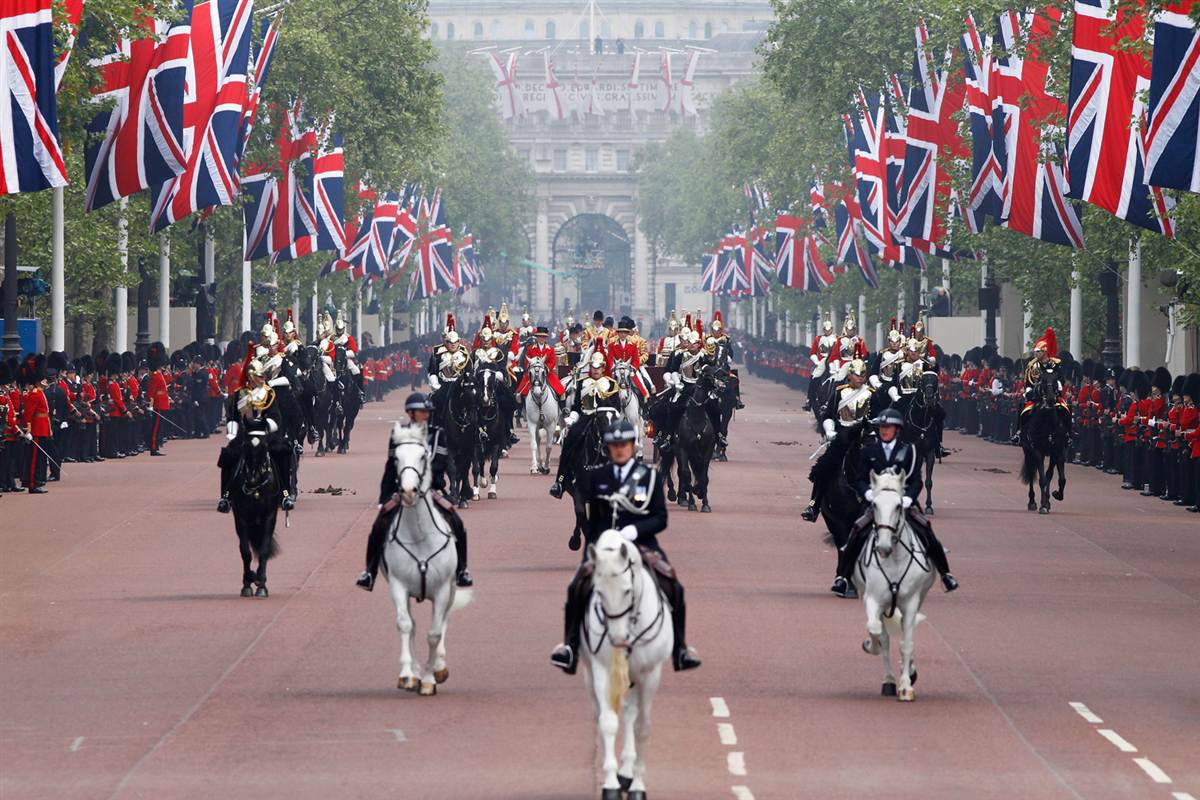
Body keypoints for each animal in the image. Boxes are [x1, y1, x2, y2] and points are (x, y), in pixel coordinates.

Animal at [226, 431, 280, 594]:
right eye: (245, 445)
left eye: (264, 446)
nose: (252, 480)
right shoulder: (241, 518)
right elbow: (245, 551)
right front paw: (248, 581)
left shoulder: (270, 516)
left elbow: (264, 549)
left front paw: (261, 584)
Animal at [381, 424, 470, 695]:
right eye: (396, 458)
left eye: (423, 456)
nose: (409, 493)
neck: (419, 536)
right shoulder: (398, 585)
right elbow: (405, 625)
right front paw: (409, 675)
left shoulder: (442, 588)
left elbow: (434, 633)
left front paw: (431, 677)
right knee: (413, 625)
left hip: (451, 588)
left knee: (443, 622)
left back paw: (438, 667)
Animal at [578, 532, 672, 800]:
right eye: (598, 593)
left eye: (628, 591)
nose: (619, 639)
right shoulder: (602, 670)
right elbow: (608, 722)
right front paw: (610, 784)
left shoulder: (650, 675)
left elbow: (642, 727)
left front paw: (638, 785)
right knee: (604, 714)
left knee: (632, 712)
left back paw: (628, 773)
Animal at [854, 470, 936, 700]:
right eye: (874, 505)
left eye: (899, 505)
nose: (883, 547)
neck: (895, 559)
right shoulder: (872, 599)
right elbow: (877, 631)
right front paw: (869, 645)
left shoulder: (911, 602)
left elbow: (906, 644)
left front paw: (907, 684)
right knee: (885, 636)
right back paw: (889, 680)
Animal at [1022, 369, 1070, 513]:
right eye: (1042, 380)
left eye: (1056, 380)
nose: (1049, 399)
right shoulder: (1037, 451)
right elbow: (1042, 479)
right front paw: (1043, 504)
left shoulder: (1058, 451)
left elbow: (1059, 478)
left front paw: (1054, 496)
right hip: (1028, 451)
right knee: (1031, 473)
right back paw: (1032, 502)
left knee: (1049, 474)